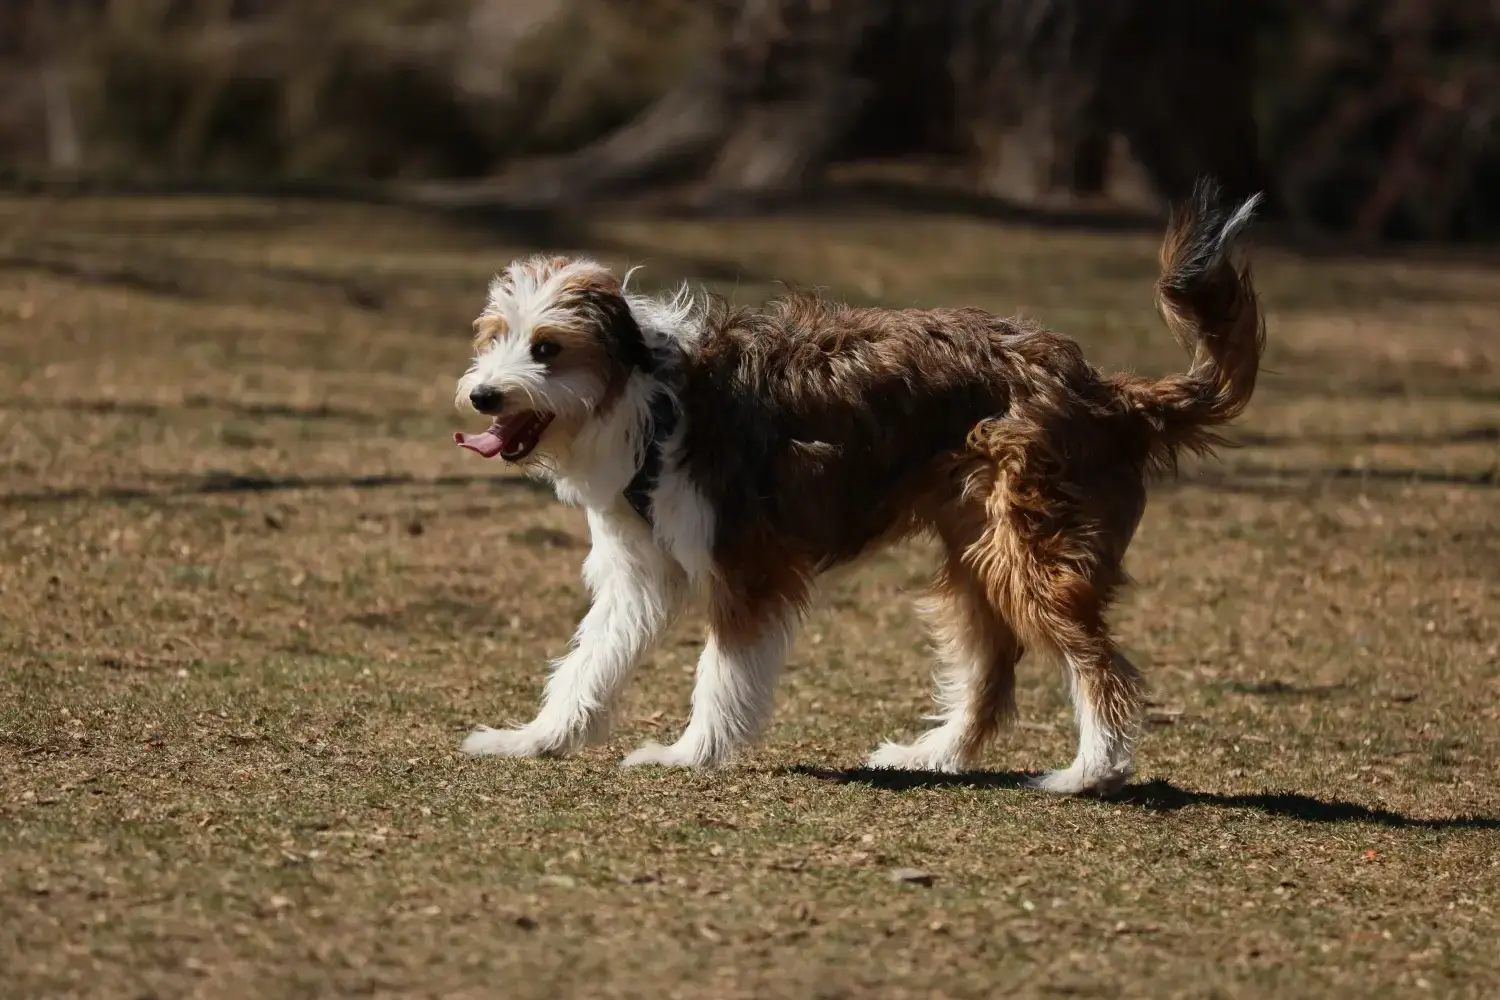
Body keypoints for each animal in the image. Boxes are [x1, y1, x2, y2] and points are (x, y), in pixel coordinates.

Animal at [450, 176, 1260, 791]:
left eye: (546, 349)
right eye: (493, 339)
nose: (482, 396)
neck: (651, 397)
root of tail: (1106, 391)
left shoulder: (748, 566)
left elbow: (721, 672)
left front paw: (690, 754)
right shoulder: (638, 572)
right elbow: (587, 664)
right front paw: (537, 738)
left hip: (1034, 555)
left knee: (1102, 668)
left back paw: (1089, 773)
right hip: (979, 557)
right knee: (990, 676)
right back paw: (934, 756)